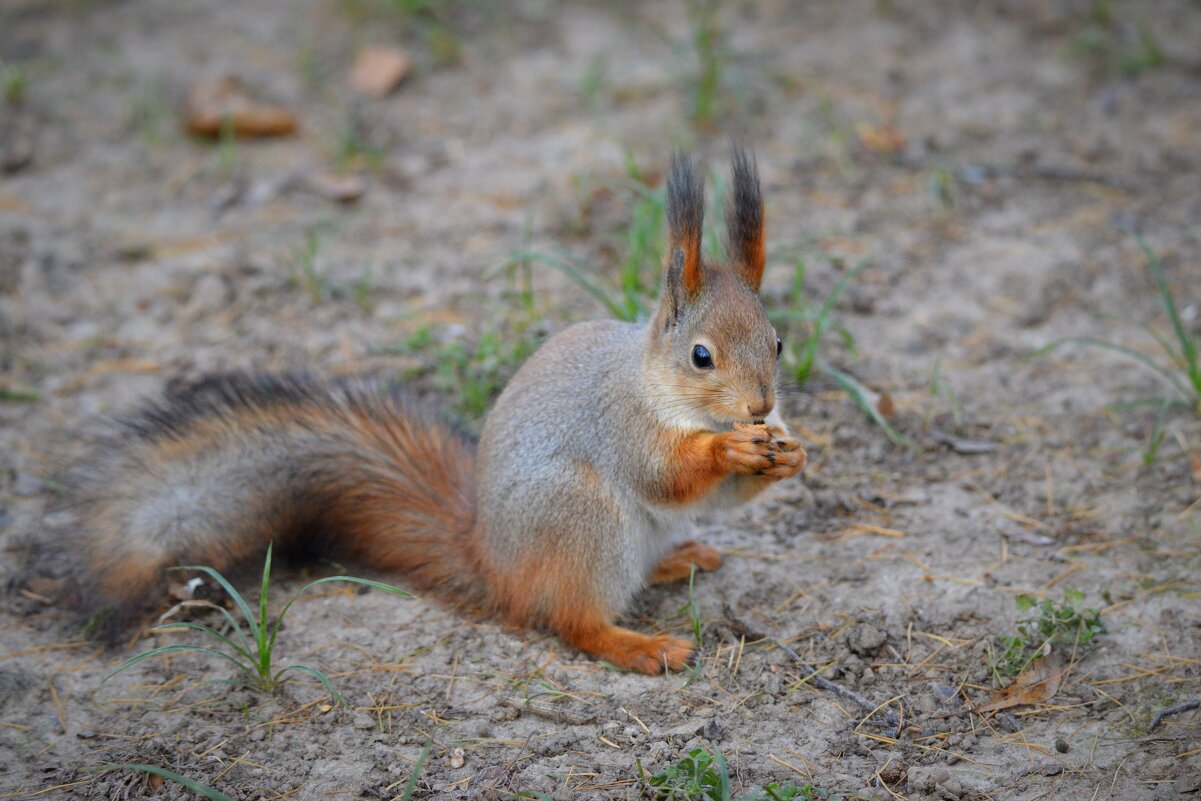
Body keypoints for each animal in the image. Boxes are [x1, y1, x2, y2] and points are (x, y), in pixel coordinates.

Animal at [58, 148, 807, 677]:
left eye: (777, 340)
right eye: (701, 356)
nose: (762, 404)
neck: (655, 384)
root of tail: (492, 565)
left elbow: (721, 499)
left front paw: (788, 454)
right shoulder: (619, 423)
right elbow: (664, 474)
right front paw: (729, 451)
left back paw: (680, 559)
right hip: (578, 517)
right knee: (570, 619)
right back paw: (642, 646)